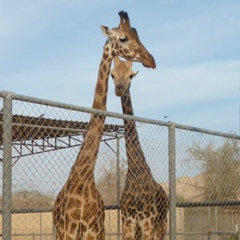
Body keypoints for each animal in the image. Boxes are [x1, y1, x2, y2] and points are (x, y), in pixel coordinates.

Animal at [53, 11, 156, 240]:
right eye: (123, 38)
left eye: (138, 34)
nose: (151, 60)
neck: (83, 181)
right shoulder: (68, 230)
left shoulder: (94, 231)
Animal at [110, 56, 169, 240]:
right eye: (112, 75)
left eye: (131, 76)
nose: (119, 90)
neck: (135, 168)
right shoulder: (128, 220)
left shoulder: (146, 220)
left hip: (161, 225)